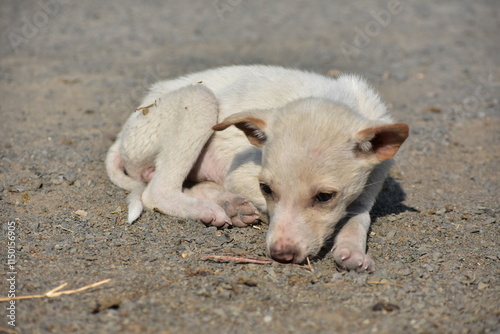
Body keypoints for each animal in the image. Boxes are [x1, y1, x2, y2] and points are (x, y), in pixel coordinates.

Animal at [105, 66, 406, 272]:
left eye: (324, 197)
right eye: (266, 189)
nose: (281, 256)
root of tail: (125, 130)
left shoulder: (370, 184)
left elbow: (358, 217)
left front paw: (351, 250)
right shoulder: (240, 174)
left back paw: (231, 206)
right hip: (199, 100)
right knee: (158, 190)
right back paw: (211, 209)